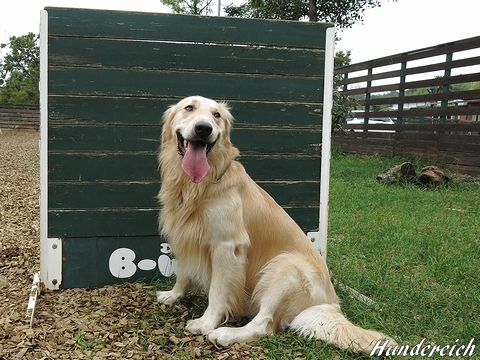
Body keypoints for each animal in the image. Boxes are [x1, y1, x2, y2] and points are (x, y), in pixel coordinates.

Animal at [156, 95, 392, 352]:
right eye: (189, 108)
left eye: (216, 115)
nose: (203, 128)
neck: (199, 185)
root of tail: (330, 304)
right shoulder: (183, 235)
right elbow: (183, 272)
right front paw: (174, 294)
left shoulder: (227, 246)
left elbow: (217, 293)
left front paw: (206, 323)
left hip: (286, 266)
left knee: (264, 324)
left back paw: (226, 334)